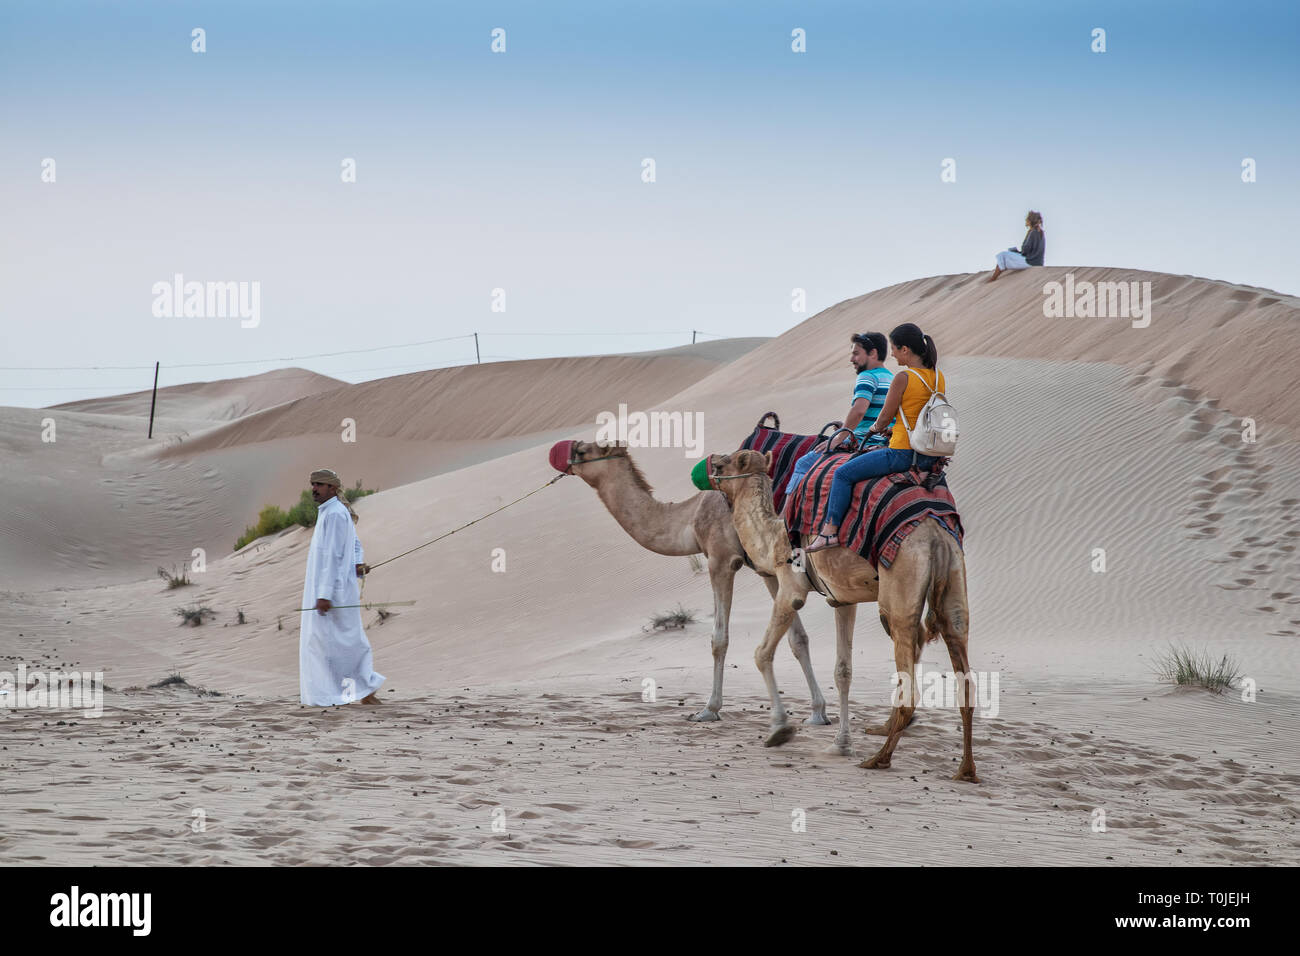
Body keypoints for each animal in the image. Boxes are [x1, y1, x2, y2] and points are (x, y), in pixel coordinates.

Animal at [561, 442, 832, 723]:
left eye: (583, 452)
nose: (562, 457)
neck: (690, 518)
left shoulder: (721, 560)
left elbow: (719, 638)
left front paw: (709, 709)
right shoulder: (768, 572)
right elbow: (798, 638)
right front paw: (818, 712)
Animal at [712, 444, 977, 780]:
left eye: (722, 466)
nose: (708, 466)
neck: (773, 535)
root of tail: (934, 536)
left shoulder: (791, 589)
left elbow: (762, 653)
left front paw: (780, 729)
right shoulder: (842, 599)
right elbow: (843, 671)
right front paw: (840, 744)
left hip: (900, 585)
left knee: (909, 674)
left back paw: (879, 758)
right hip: (955, 580)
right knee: (963, 679)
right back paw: (966, 770)